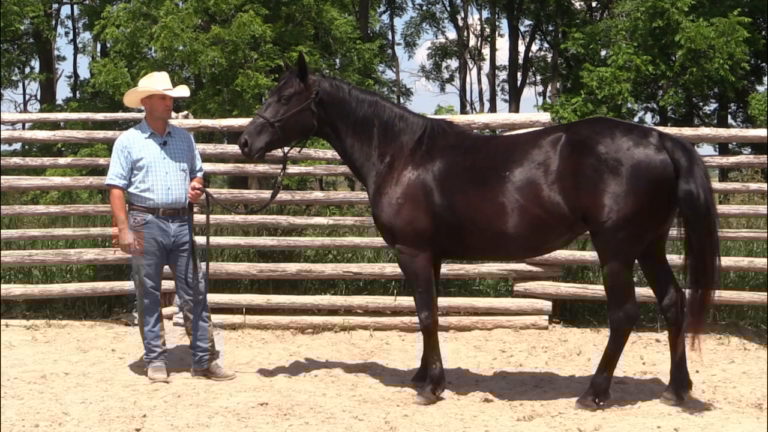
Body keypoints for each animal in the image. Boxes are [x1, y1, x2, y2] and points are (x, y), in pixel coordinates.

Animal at [237, 54, 720, 408]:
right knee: (673, 303)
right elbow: (428, 313)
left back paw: (594, 393)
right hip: (649, 245)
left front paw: (431, 388)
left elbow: (426, 314)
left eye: (285, 96)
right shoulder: (430, 255)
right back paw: (677, 389)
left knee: (624, 314)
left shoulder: (412, 252)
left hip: (616, 249)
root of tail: (660, 140)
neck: (401, 154)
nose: (245, 141)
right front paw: (423, 375)